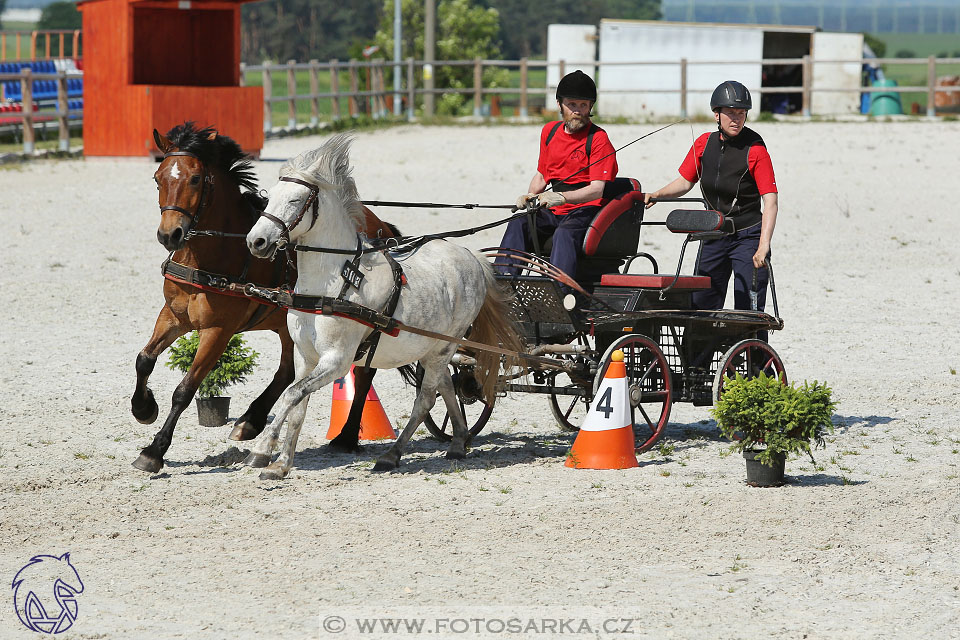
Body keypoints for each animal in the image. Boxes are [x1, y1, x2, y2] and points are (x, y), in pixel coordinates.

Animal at [131, 122, 398, 472]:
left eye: (196, 179)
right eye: (158, 177)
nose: (169, 234)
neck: (213, 255)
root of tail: (380, 226)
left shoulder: (218, 331)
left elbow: (185, 389)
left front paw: (155, 450)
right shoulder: (174, 316)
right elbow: (144, 360)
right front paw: (143, 408)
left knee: (364, 373)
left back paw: (346, 437)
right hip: (288, 325)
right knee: (287, 372)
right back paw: (251, 421)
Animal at [244, 132, 520, 478]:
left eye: (296, 201)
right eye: (269, 198)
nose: (256, 242)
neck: (331, 284)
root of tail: (472, 257)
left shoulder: (337, 360)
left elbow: (291, 395)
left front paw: (261, 449)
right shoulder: (306, 357)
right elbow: (296, 405)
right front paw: (280, 463)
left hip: (444, 347)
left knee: (425, 400)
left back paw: (392, 454)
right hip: (432, 349)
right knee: (445, 387)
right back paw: (457, 442)